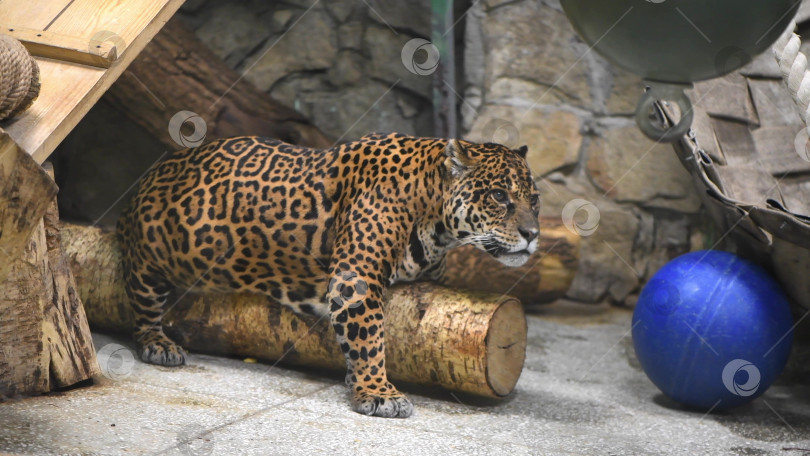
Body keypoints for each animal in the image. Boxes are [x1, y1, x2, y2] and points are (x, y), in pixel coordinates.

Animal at [117, 131, 540, 416]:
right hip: (152, 256)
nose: (533, 234)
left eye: (534, 200)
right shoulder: (355, 280)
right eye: (499, 196)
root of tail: (150, 173)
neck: (436, 220)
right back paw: (160, 345)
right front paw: (378, 393)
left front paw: (362, 384)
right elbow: (370, 338)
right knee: (141, 303)